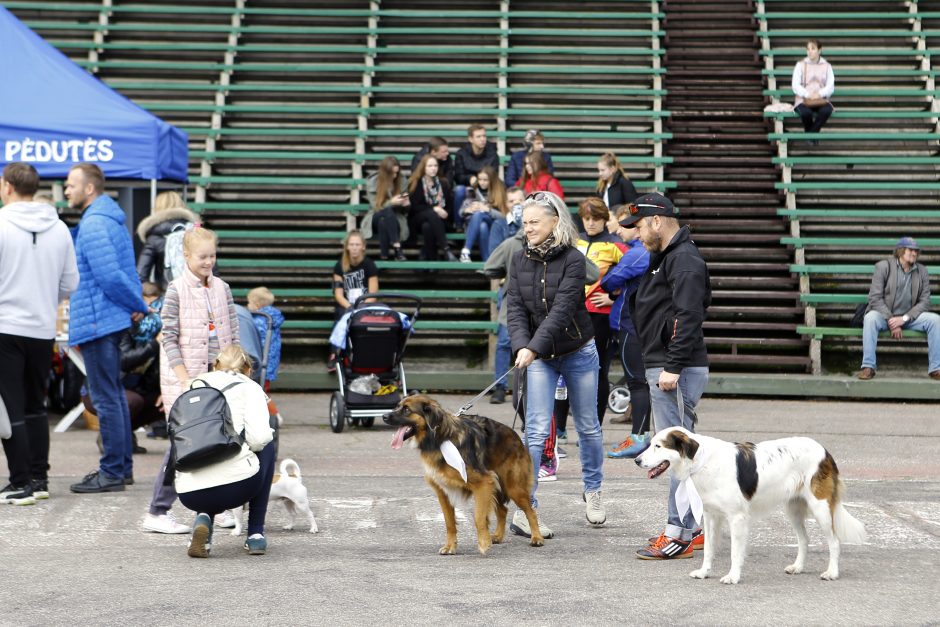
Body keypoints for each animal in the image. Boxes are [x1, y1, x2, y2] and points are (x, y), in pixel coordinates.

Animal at [382, 394, 544, 556]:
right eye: (398, 406)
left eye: (407, 409)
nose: (383, 416)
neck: (439, 438)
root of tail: (516, 436)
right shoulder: (443, 491)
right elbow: (449, 523)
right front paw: (450, 546)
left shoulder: (483, 483)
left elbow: (479, 517)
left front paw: (483, 543)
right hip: (497, 486)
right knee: (503, 510)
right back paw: (498, 536)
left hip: (512, 487)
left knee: (530, 511)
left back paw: (537, 537)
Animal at [636, 426, 872, 584]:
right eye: (651, 444)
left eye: (658, 446)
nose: (637, 461)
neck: (702, 461)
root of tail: (825, 451)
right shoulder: (711, 516)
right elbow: (709, 549)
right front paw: (704, 572)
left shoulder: (737, 518)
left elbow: (735, 551)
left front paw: (733, 576)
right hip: (793, 508)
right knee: (804, 540)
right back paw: (797, 567)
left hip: (820, 508)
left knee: (834, 542)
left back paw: (832, 572)